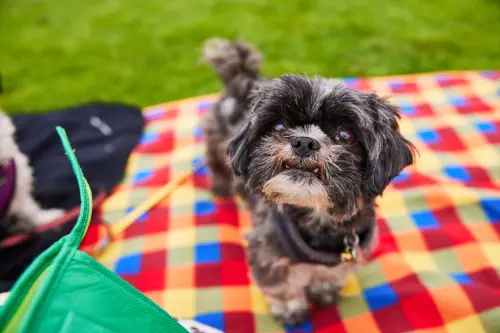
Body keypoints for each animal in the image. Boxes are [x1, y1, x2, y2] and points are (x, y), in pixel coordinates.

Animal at [199, 37, 414, 326]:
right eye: (279, 127)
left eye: (346, 135)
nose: (304, 142)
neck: (318, 216)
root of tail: (241, 82)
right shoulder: (267, 249)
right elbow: (281, 285)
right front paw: (290, 310)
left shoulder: (343, 255)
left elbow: (328, 274)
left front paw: (323, 290)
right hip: (215, 141)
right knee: (217, 165)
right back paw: (221, 187)